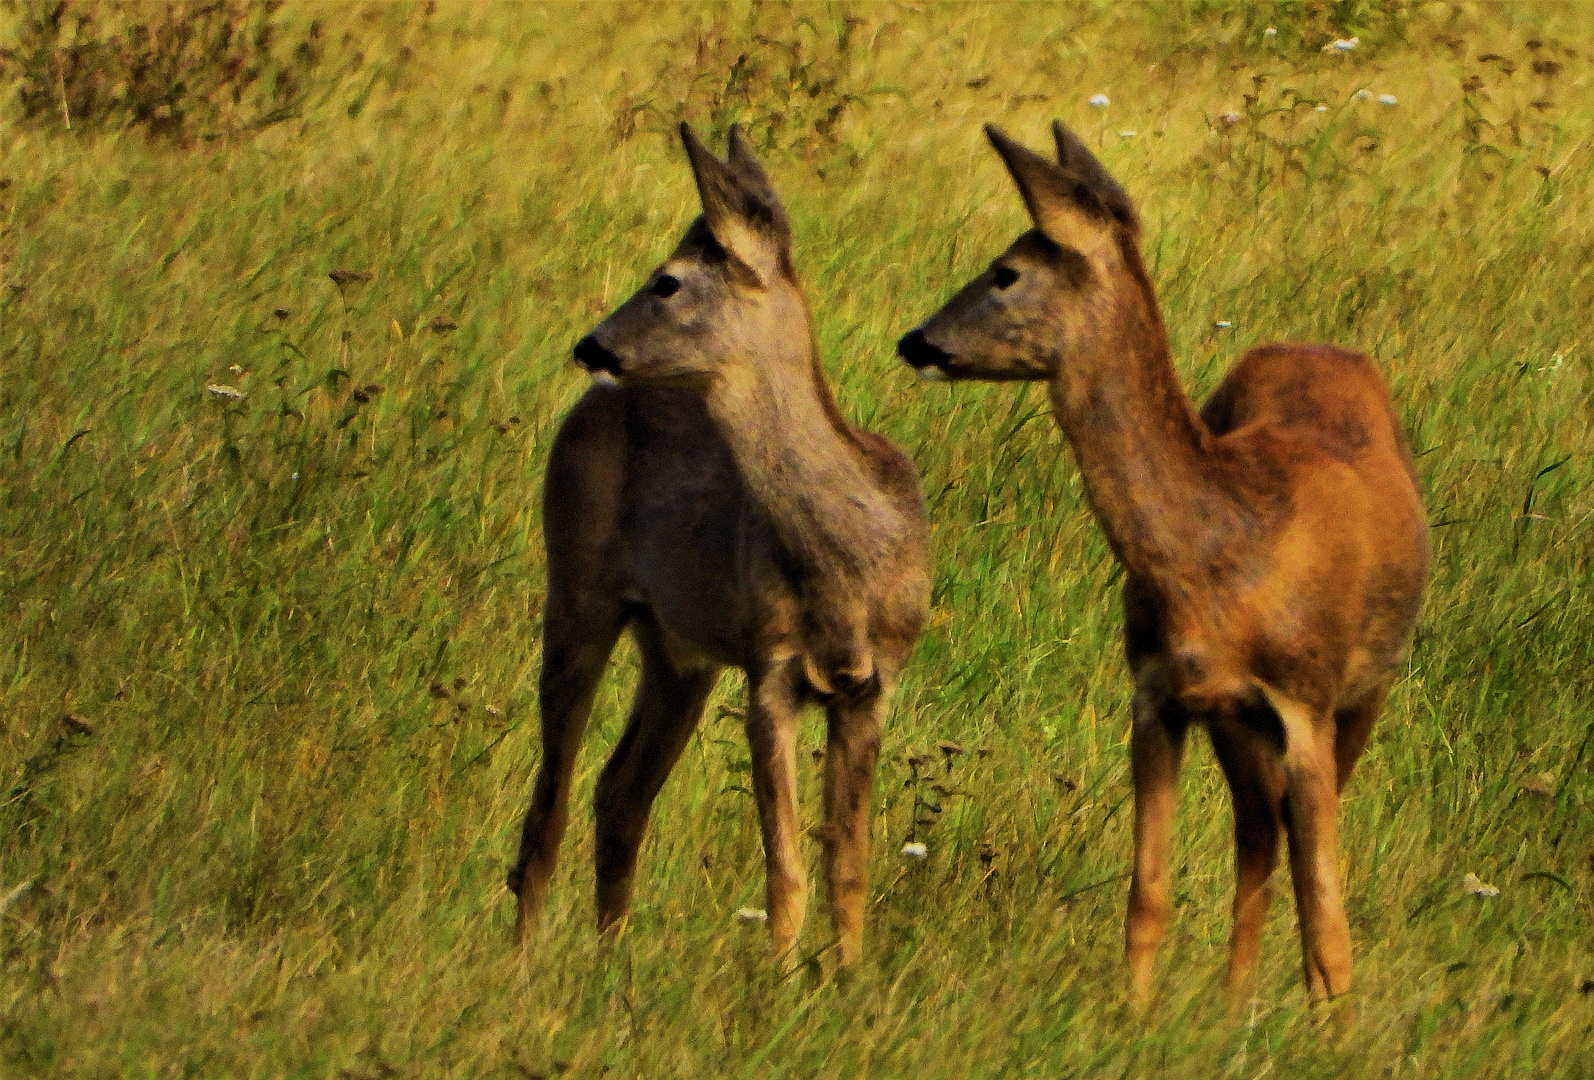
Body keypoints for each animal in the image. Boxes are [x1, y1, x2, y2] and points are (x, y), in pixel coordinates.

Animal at [510, 122, 930, 968]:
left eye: (667, 282)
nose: (591, 344)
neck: (848, 558)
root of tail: (591, 404)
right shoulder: (770, 667)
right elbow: (787, 872)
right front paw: (779, 980)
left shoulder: (873, 682)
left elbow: (849, 871)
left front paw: (849, 980)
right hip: (577, 590)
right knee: (551, 801)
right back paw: (524, 962)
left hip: (677, 652)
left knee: (619, 791)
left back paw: (611, 960)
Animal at [899, 122, 1434, 1000]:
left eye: (1007, 271)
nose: (915, 340)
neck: (1224, 554)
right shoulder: (1158, 695)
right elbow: (1146, 895)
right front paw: (1134, 1016)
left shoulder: (1307, 698)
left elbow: (1329, 921)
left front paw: (1333, 1020)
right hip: (1237, 721)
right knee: (1258, 831)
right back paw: (1233, 999)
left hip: (1364, 691)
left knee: (1291, 848)